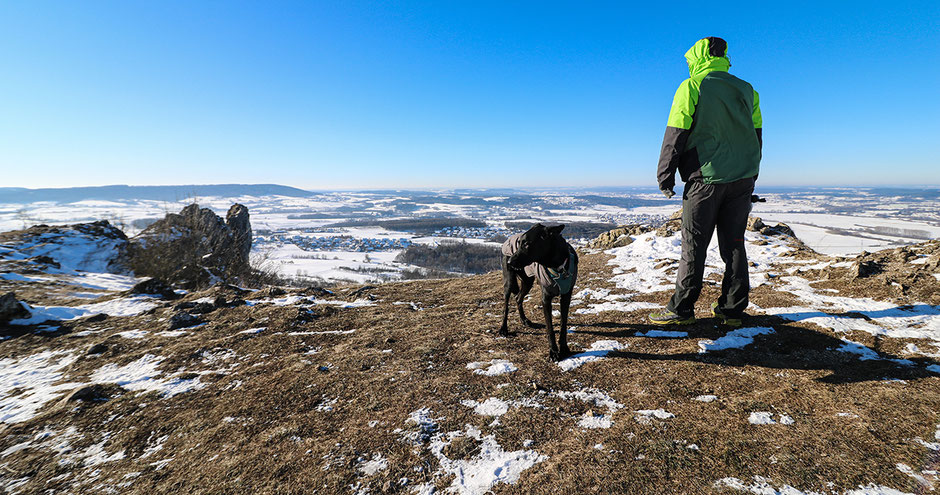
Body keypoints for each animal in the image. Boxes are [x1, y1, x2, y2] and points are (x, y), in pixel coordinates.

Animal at [500, 224, 580, 360]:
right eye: (519, 243)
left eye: (527, 244)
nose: (510, 262)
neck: (558, 267)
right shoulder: (546, 299)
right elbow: (550, 328)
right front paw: (553, 351)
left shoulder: (566, 297)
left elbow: (563, 325)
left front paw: (564, 348)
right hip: (509, 281)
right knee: (506, 305)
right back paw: (503, 329)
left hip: (528, 281)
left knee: (518, 298)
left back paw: (524, 320)